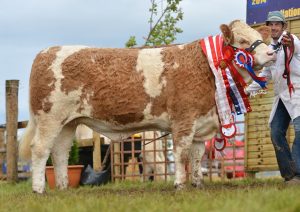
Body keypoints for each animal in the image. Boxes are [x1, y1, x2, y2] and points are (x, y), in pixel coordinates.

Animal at [19, 20, 276, 194]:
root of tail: (47, 52)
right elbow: (181, 153)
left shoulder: (201, 123)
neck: (206, 67)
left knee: (60, 152)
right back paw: (39, 189)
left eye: (259, 37)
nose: (271, 52)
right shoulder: (184, 120)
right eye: (242, 41)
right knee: (40, 149)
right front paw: (180, 185)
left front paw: (197, 183)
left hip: (68, 122)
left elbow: (196, 155)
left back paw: (63, 187)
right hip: (49, 116)